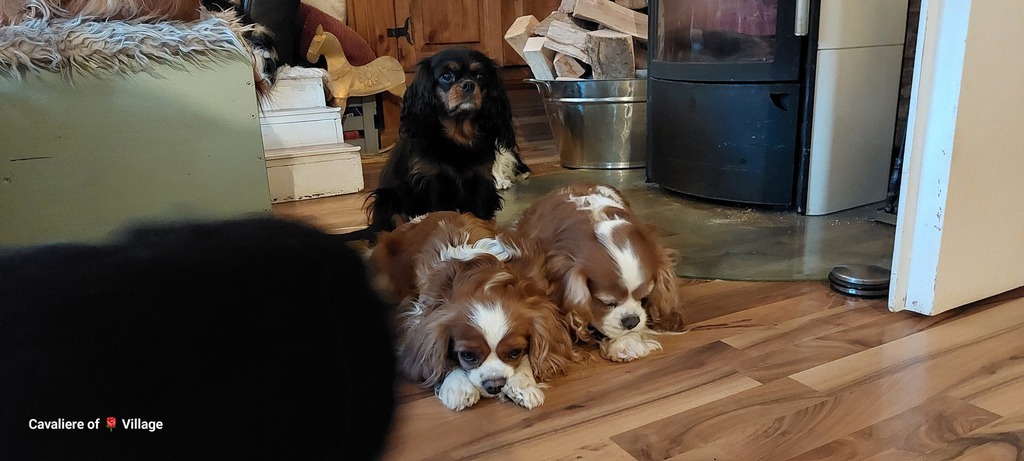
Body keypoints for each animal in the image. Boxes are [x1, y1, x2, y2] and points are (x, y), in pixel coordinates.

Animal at [364, 48, 529, 236]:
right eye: (446, 76)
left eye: (480, 76)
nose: (468, 84)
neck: (457, 137)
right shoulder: (432, 183)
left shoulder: (479, 182)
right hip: (389, 199)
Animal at [367, 211, 578, 411]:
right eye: (468, 356)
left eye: (515, 352)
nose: (495, 385)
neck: (485, 284)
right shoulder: (420, 316)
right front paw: (457, 386)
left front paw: (523, 384)